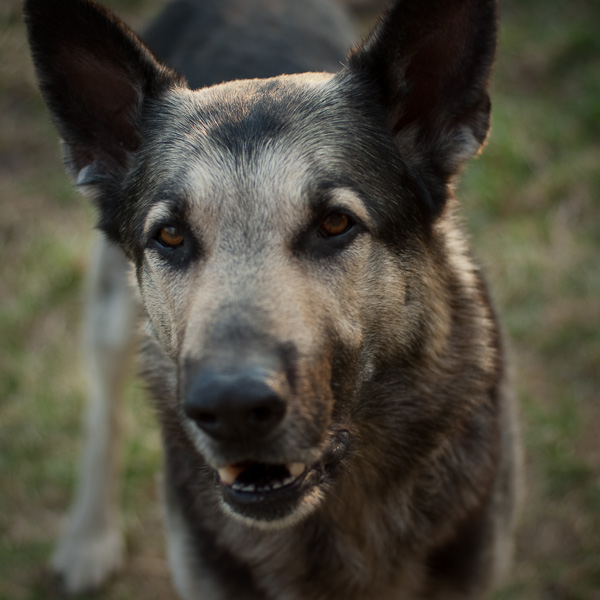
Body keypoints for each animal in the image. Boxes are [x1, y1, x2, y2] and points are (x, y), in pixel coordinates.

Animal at [23, 0, 520, 596]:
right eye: (171, 236)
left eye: (335, 224)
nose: (232, 410)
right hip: (111, 317)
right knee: (104, 414)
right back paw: (89, 537)